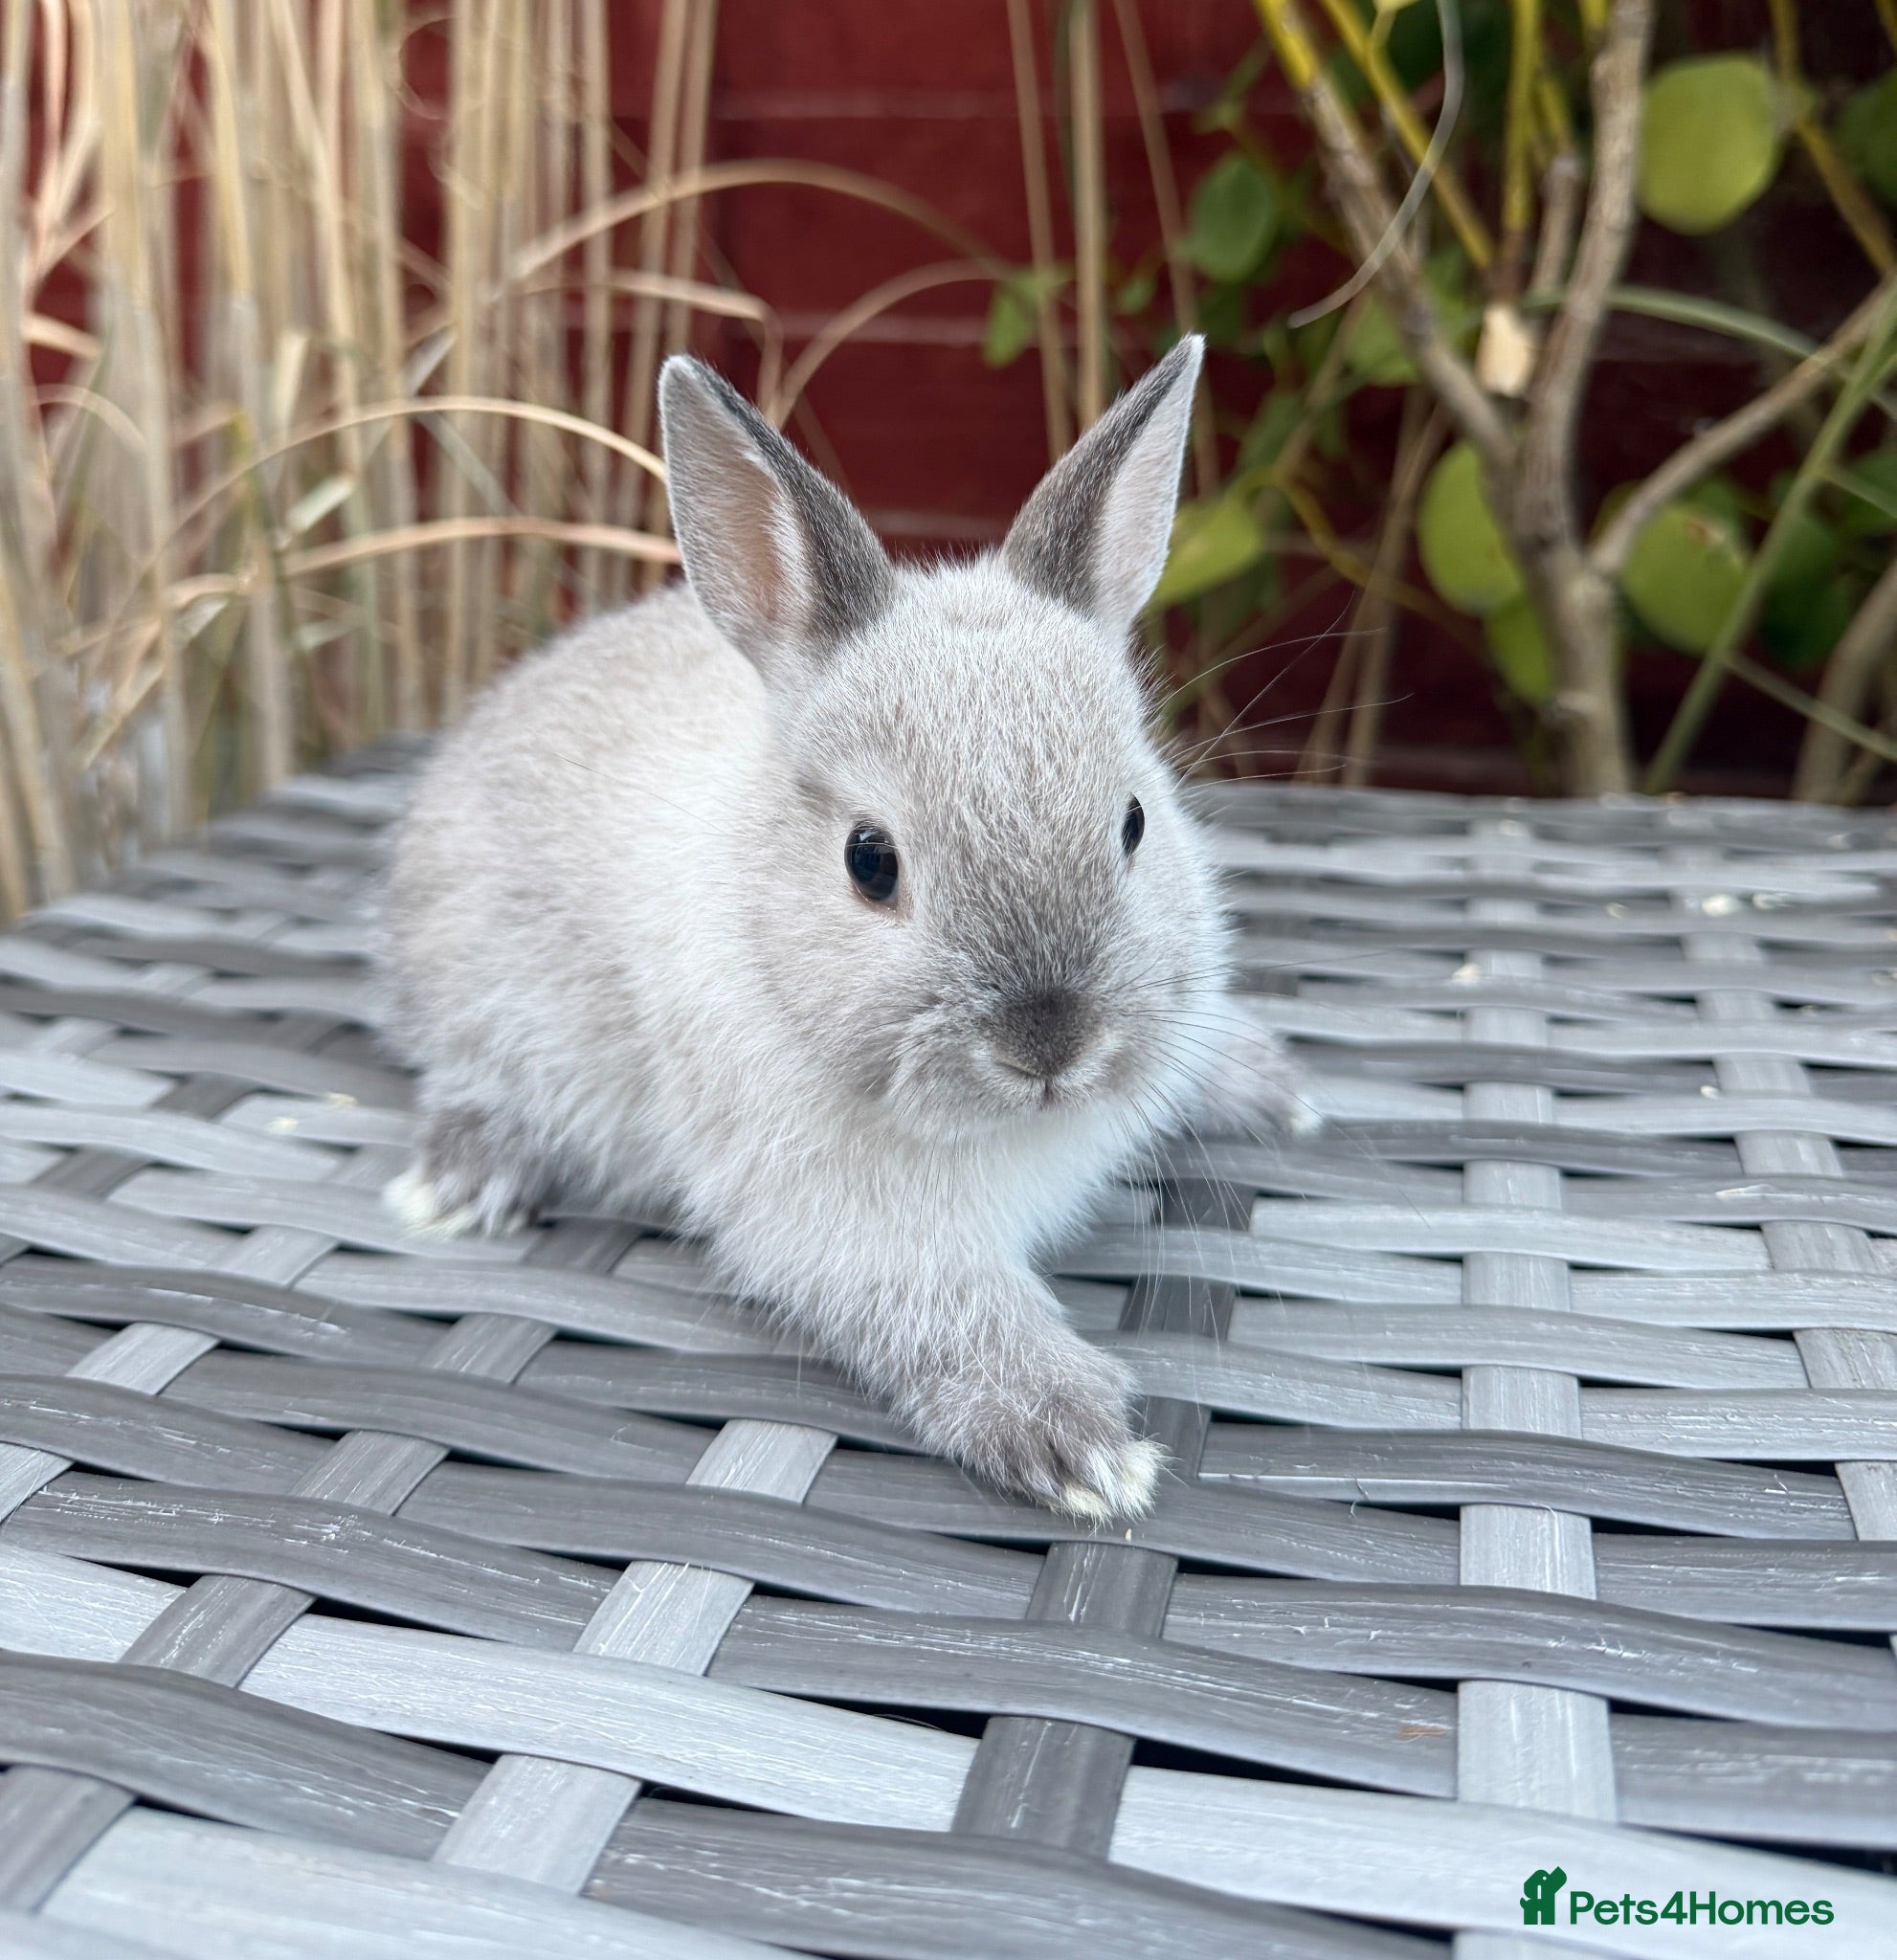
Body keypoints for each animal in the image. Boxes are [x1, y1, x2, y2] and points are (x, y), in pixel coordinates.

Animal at [378, 333, 1309, 1521]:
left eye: (1135, 821)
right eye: (870, 860)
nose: (1050, 1043)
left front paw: (1275, 1089)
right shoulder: (849, 1231)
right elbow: (951, 1318)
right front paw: (1088, 1450)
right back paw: (458, 1184)